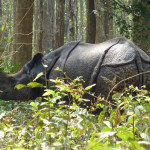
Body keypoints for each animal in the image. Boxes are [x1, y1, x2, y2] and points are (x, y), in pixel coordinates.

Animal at [0, 37, 150, 101]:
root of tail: (136, 54)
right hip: (143, 66)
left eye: (13, 81)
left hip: (113, 67)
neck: (41, 69)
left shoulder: (57, 90)